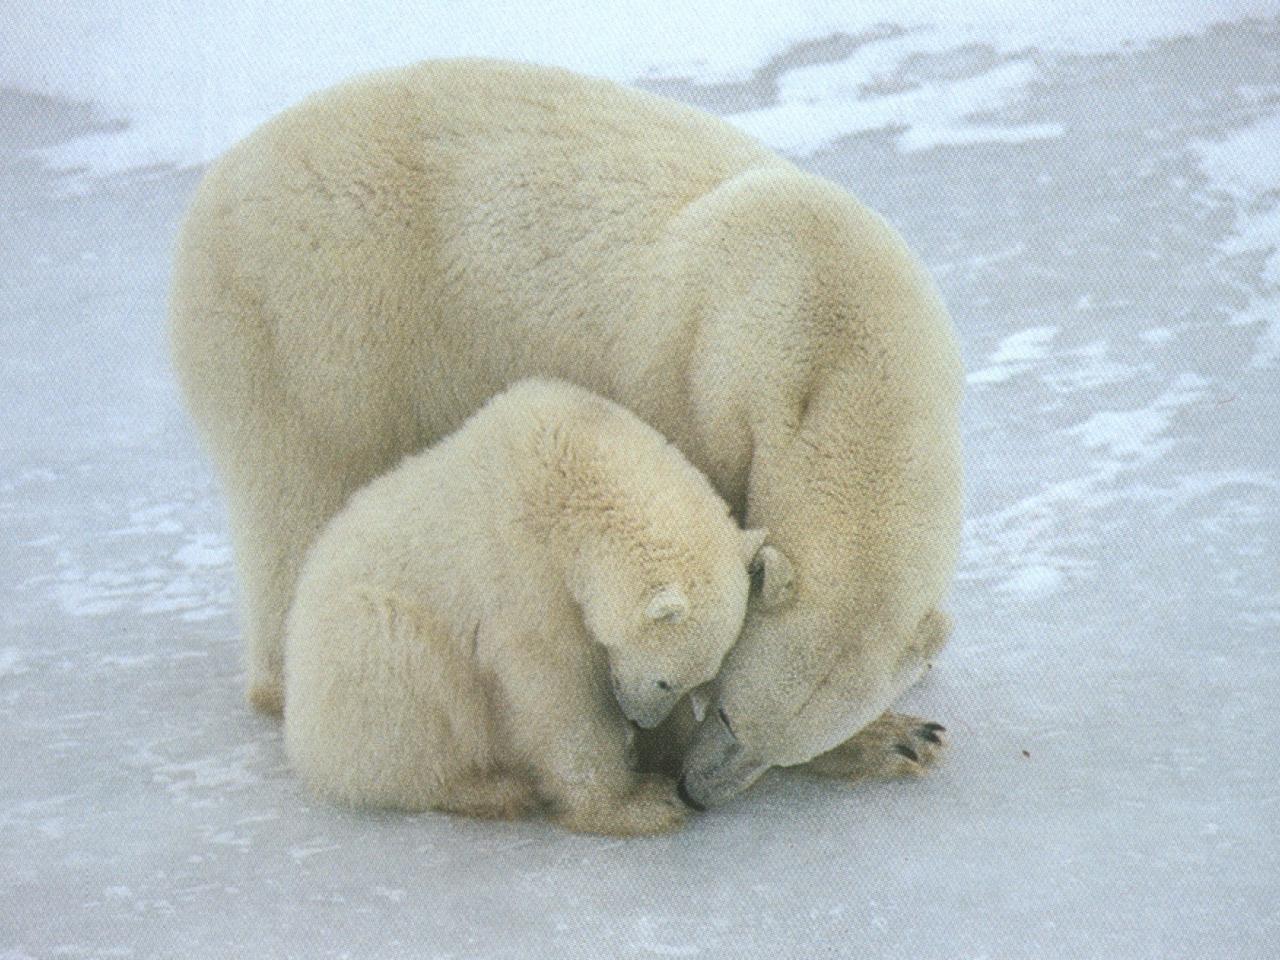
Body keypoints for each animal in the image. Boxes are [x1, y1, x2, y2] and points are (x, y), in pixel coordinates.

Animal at [282, 376, 757, 834]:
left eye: (699, 683)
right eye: (665, 682)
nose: (641, 723)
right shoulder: (525, 577)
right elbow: (553, 690)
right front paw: (639, 804)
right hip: (359, 652)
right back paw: (489, 788)